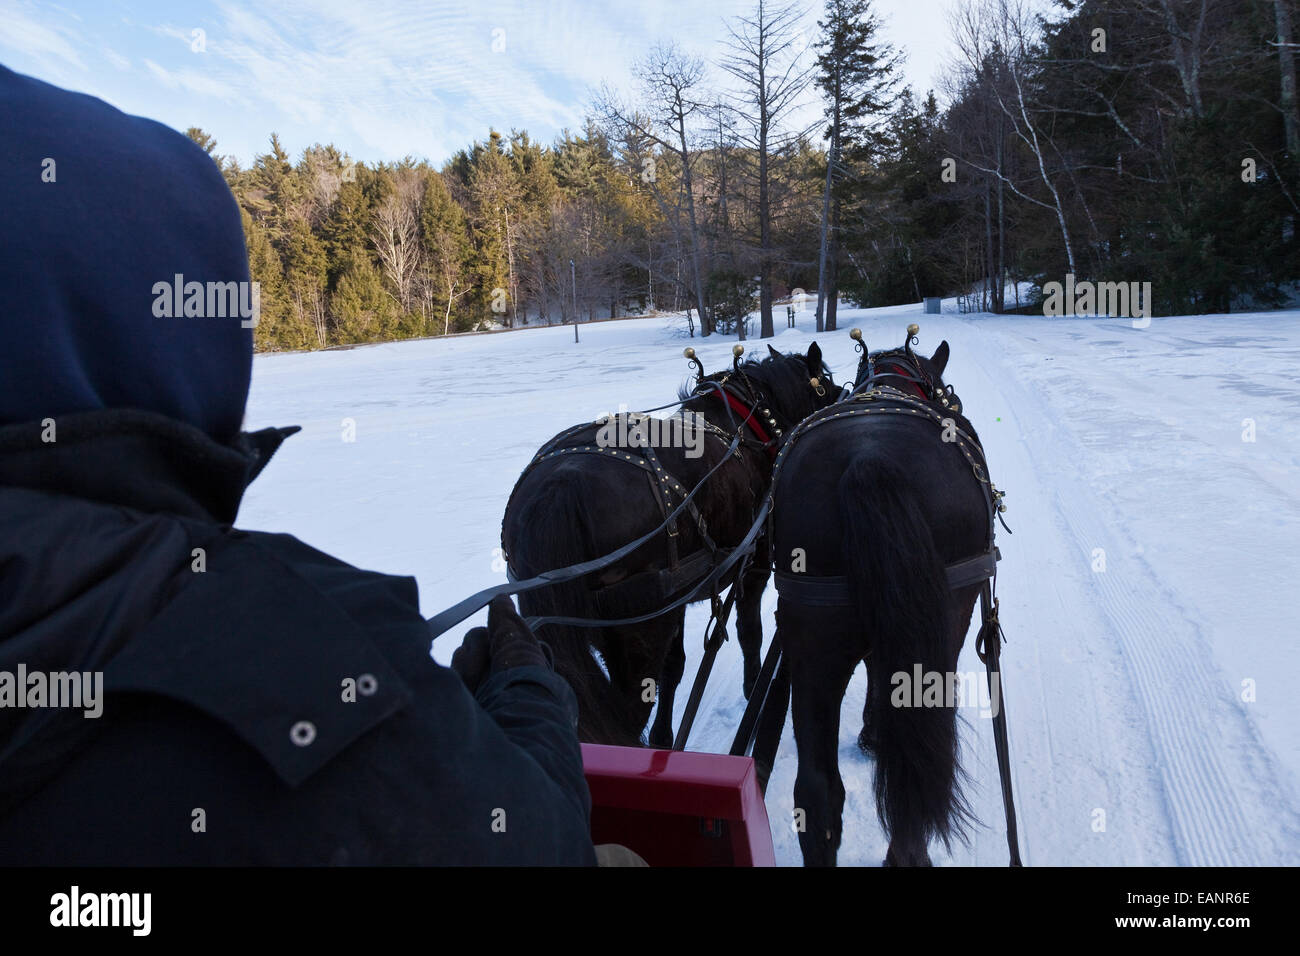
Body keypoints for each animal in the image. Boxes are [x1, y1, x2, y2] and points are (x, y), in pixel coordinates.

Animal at [501, 343, 836, 748]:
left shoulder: (677, 600)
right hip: (639, 631)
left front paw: (664, 737)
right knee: (627, 715)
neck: (745, 425)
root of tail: (561, 487)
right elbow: (749, 632)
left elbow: (674, 668)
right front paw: (752, 684)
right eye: (824, 382)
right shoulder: (752, 567)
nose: (845, 394)